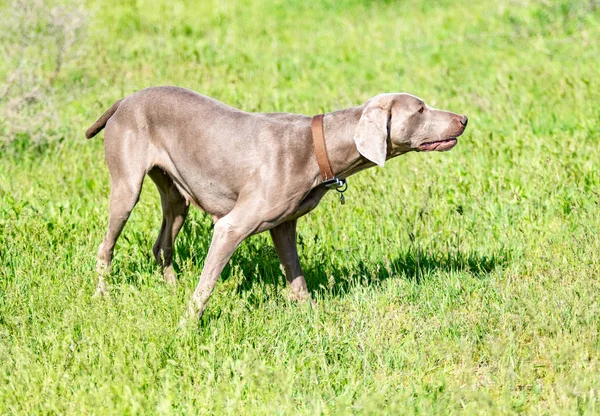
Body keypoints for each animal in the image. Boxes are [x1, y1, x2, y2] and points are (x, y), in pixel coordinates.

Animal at [85, 86, 468, 322]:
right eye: (420, 109)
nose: (464, 119)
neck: (317, 147)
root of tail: (124, 100)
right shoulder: (231, 226)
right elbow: (206, 286)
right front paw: (186, 327)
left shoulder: (284, 227)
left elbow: (297, 282)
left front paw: (314, 321)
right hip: (127, 188)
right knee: (106, 247)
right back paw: (102, 296)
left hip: (177, 197)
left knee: (162, 244)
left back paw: (171, 288)